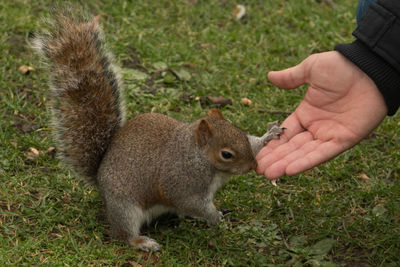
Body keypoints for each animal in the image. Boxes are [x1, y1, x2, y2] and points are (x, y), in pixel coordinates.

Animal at [32, 11, 284, 252]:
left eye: (241, 134)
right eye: (226, 154)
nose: (253, 165)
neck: (201, 157)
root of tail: (100, 180)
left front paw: (269, 135)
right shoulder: (181, 181)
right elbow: (191, 201)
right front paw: (214, 218)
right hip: (125, 207)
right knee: (122, 234)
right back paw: (141, 242)